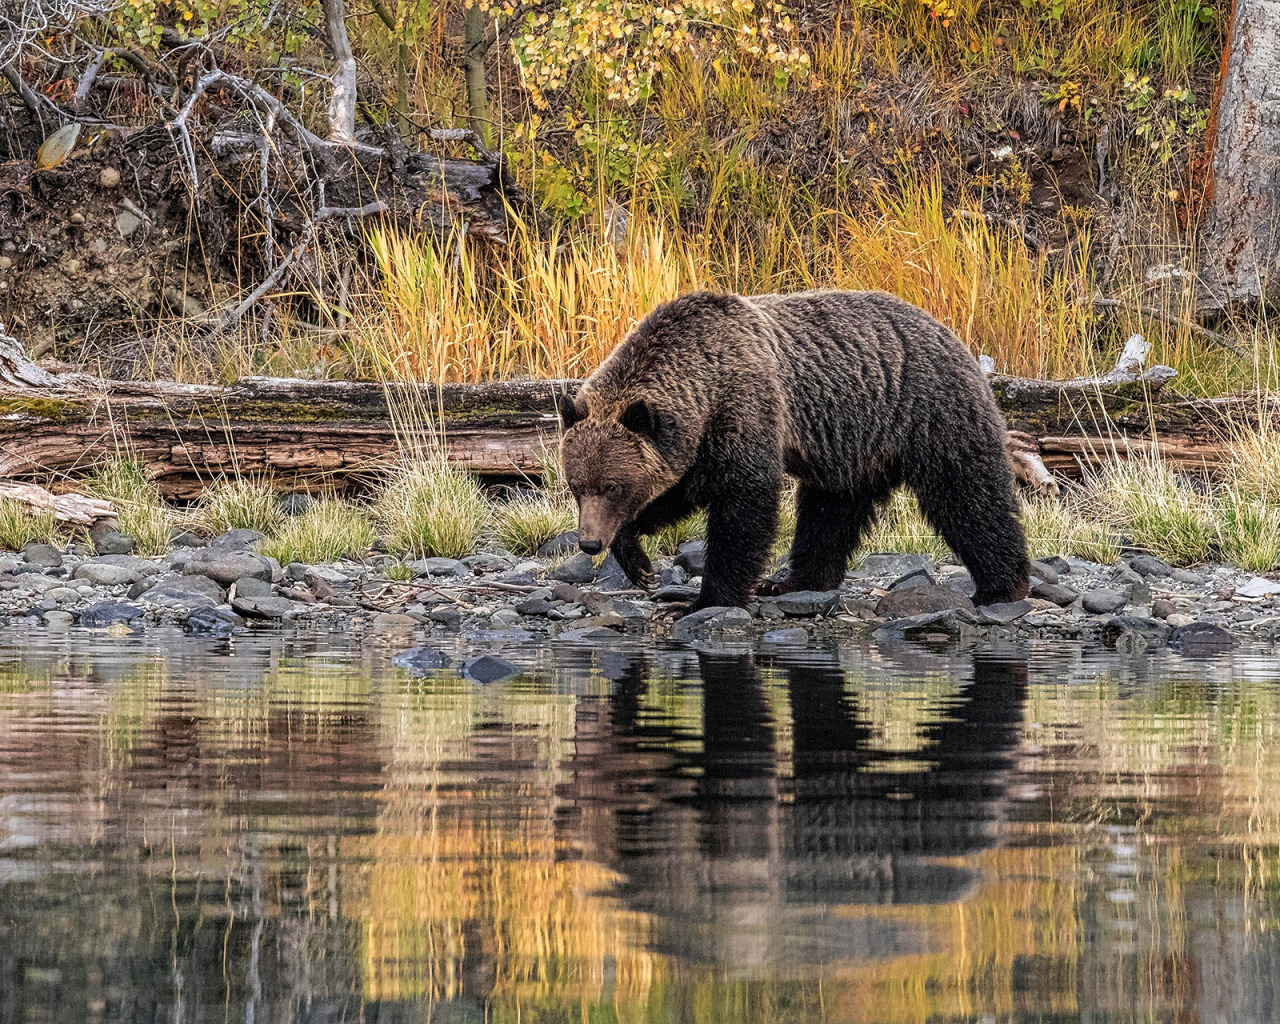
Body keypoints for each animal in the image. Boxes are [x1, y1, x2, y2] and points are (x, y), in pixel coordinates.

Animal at [558, 288, 1029, 609]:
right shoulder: (694, 445)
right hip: (853, 448)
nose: (589, 543)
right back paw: (795, 582)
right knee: (829, 514)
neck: (704, 383)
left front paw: (707, 599)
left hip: (932, 411)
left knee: (969, 495)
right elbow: (677, 495)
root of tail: (950, 333)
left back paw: (1001, 586)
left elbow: (744, 506)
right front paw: (638, 563)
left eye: (612, 485)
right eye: (578, 487)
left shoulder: (745, 409)